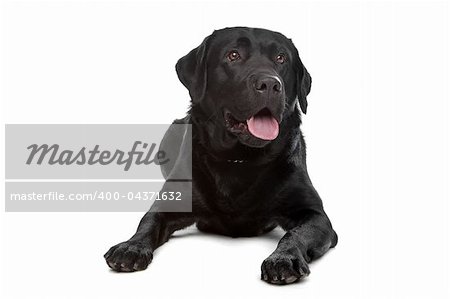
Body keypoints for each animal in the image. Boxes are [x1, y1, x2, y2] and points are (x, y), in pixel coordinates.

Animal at [104, 26, 338, 286]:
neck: (240, 159)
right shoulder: (169, 202)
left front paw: (284, 258)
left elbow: (295, 234)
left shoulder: (316, 216)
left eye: (281, 58)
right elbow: (147, 223)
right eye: (233, 55)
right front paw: (131, 247)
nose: (270, 83)